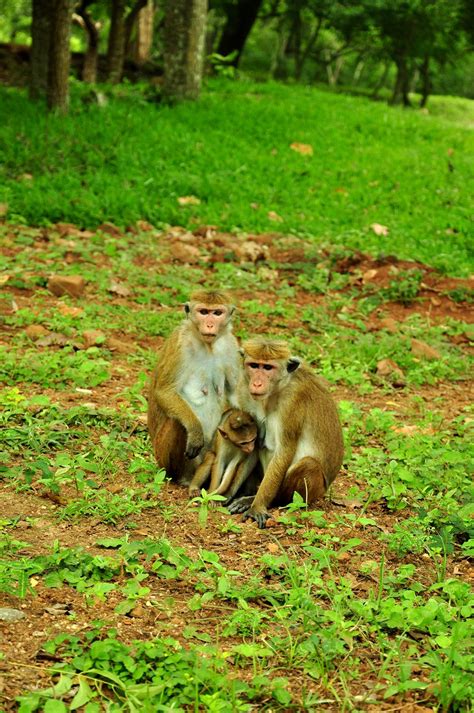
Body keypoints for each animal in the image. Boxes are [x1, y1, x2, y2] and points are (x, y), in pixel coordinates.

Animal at [146, 290, 239, 484]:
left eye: (217, 313)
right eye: (203, 312)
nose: (210, 324)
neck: (207, 345)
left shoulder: (232, 346)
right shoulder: (180, 345)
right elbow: (165, 392)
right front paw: (195, 432)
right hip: (165, 458)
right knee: (177, 422)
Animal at [227, 340, 342, 528]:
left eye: (268, 367)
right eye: (254, 365)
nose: (257, 383)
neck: (277, 389)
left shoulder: (293, 401)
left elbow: (284, 451)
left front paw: (257, 506)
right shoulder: (244, 389)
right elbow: (252, 444)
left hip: (314, 490)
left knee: (308, 465)